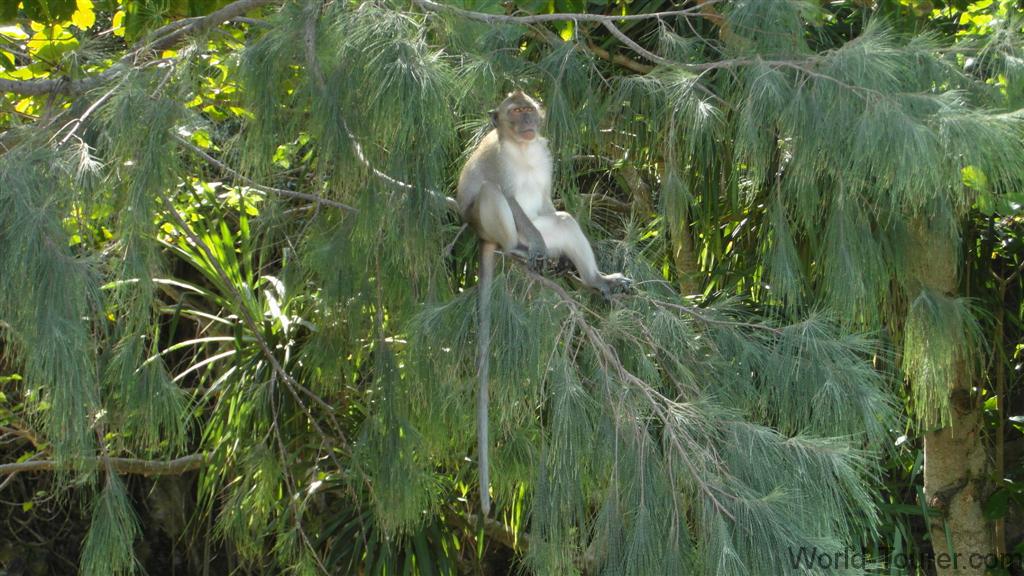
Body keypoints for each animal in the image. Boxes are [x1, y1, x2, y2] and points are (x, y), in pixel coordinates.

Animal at [457, 90, 631, 514]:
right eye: (515, 112)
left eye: (528, 111)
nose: (526, 123)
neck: (522, 150)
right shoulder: (498, 162)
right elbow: (507, 195)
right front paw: (532, 245)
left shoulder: (545, 155)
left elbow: (551, 205)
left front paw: (579, 268)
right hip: (487, 226)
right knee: (493, 196)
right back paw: (519, 249)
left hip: (548, 231)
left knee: (563, 221)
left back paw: (595, 281)